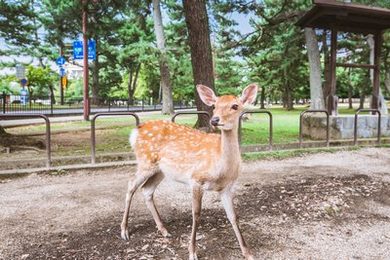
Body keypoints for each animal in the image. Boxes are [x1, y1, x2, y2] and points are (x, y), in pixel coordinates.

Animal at [120, 84, 258, 258]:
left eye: (235, 106)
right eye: (214, 106)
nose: (215, 120)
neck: (221, 168)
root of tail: (135, 131)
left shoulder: (227, 187)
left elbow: (233, 216)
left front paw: (247, 252)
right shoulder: (196, 179)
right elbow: (196, 215)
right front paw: (192, 252)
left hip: (161, 170)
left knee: (147, 189)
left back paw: (164, 230)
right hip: (146, 161)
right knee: (131, 185)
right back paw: (124, 231)